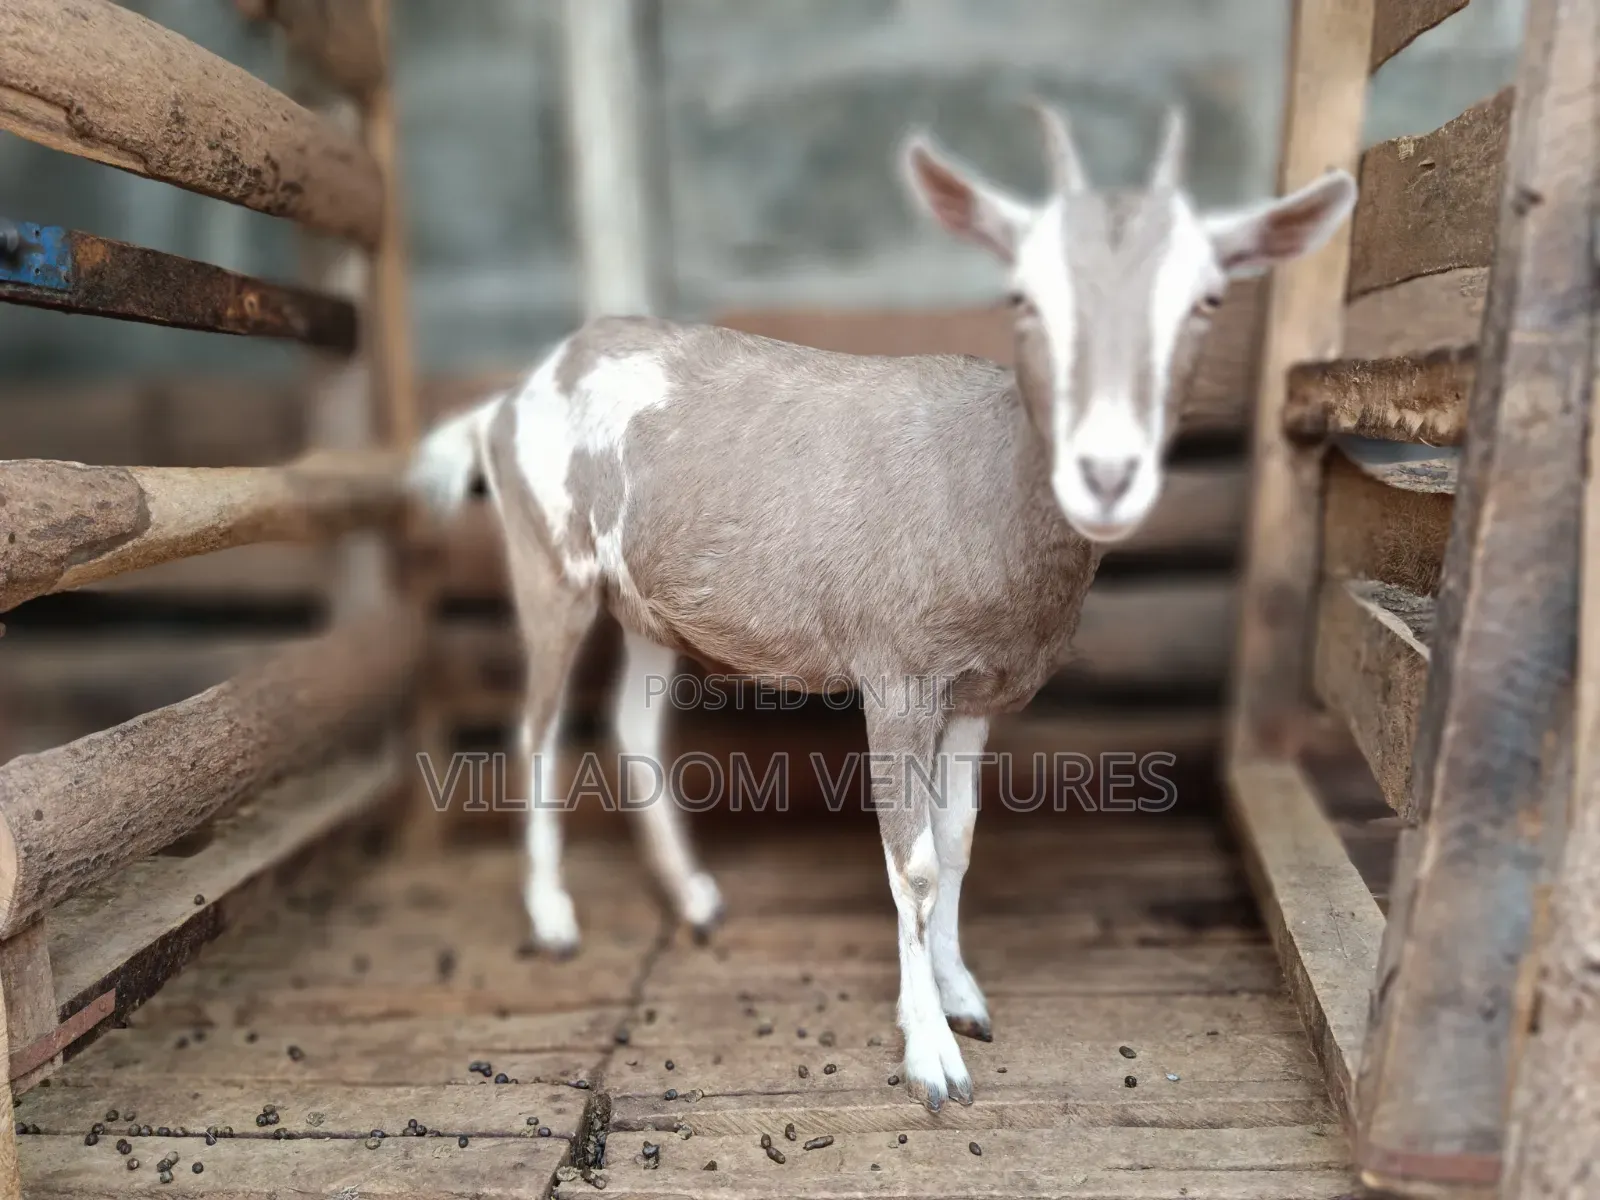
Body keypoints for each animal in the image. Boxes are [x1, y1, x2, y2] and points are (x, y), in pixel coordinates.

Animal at [408, 104, 1356, 1110]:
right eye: (1024, 296)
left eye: (1206, 300)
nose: (1108, 470)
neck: (989, 480)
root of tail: (508, 399)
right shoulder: (898, 675)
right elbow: (916, 862)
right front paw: (931, 1056)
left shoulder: (981, 691)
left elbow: (961, 839)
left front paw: (961, 992)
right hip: (548, 560)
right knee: (536, 728)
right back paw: (553, 918)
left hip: (646, 603)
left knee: (628, 722)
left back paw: (694, 896)